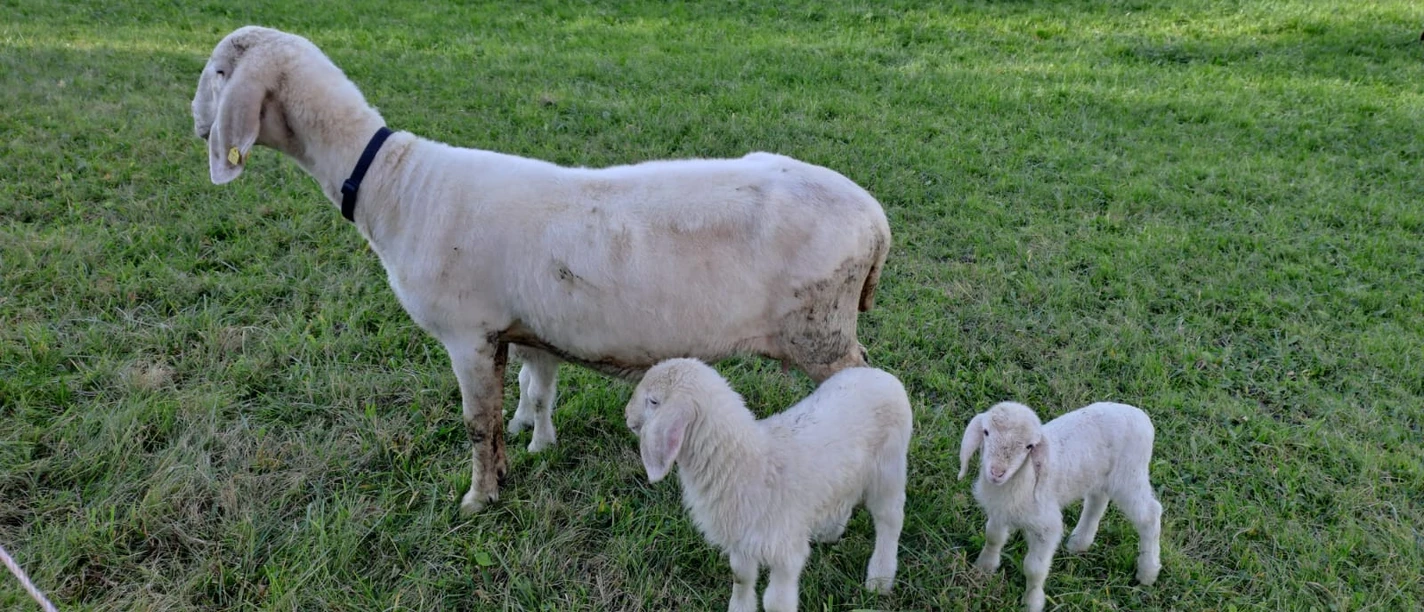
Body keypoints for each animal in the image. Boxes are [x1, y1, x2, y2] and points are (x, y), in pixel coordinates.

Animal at [191, 26, 892, 515]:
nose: (196, 122)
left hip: (821, 331)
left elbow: (478, 423)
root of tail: (876, 220)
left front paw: (478, 499)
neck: (397, 185)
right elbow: (520, 399)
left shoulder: (466, 334)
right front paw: (512, 460)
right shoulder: (507, 331)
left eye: (220, 72)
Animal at [626, 358, 912, 612]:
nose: (627, 416)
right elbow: (741, 578)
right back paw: (830, 532)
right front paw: (739, 608)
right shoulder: (742, 540)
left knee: (890, 520)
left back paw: (880, 578)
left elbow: (776, 602)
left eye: (653, 401)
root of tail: (881, 375)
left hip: (889, 468)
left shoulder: (785, 552)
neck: (747, 463)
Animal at [958, 401, 1162, 612]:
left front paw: (1032, 602)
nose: (997, 472)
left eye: (1029, 446)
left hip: (1130, 475)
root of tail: (1140, 415)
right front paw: (985, 566)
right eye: (986, 432)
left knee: (1150, 515)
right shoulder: (999, 512)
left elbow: (1034, 568)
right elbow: (993, 537)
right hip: (1100, 476)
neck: (1022, 479)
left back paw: (1148, 571)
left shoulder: (1046, 527)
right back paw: (1079, 543)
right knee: (1097, 501)